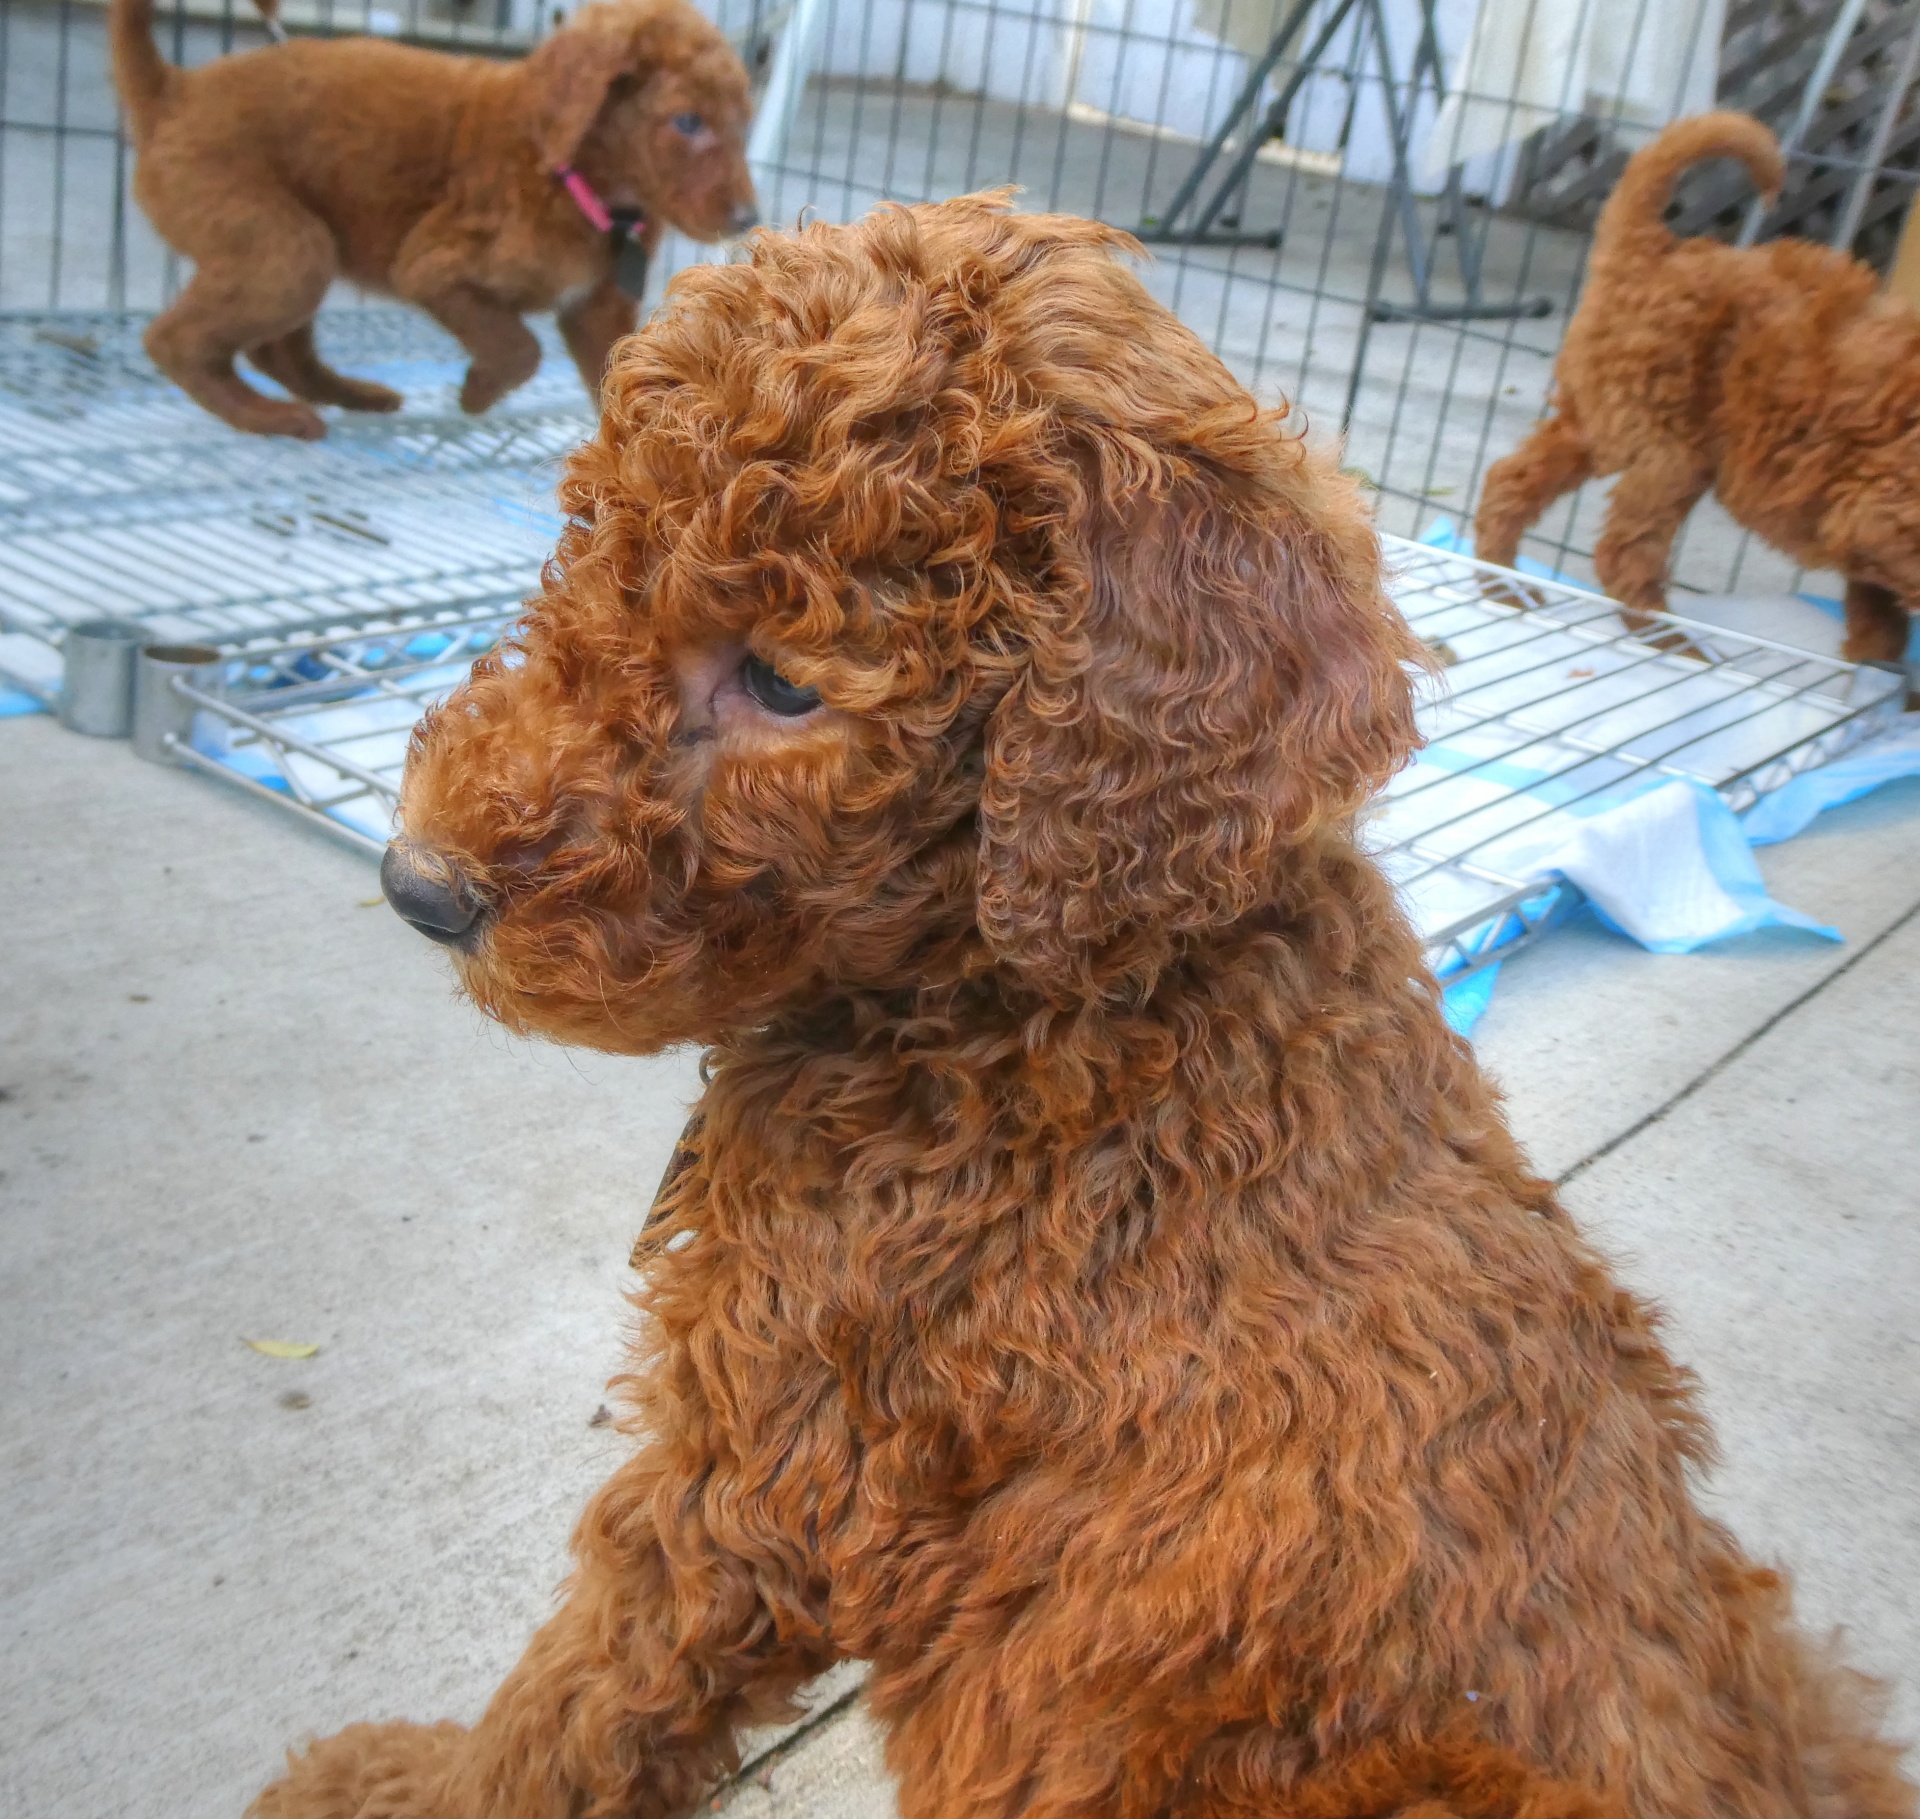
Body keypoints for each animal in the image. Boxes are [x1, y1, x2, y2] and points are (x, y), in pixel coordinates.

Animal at [103, 0, 748, 437]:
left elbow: (620, 380)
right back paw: (271, 417)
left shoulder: (597, 311)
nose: (747, 218)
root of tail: (172, 92)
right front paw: (476, 396)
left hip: (292, 249)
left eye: (743, 122)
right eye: (688, 123)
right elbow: (517, 347)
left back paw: (354, 396)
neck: (584, 183)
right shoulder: (434, 269)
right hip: (285, 248)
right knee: (174, 341)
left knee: (275, 352)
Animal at [263, 195, 1912, 1819]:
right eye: (587, 541)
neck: (1032, 1004)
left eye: (785, 685)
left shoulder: (779, 1451)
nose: (420, 882)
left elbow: (592, 1682)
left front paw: (414, 1781)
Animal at [1474, 106, 1920, 664]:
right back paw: (1677, 644)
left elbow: (1877, 606)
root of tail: (1656, 248)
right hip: (1670, 447)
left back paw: (1503, 584)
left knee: (1513, 479)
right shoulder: (1887, 511)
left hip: (1604, 413)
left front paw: (1872, 662)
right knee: (1624, 551)